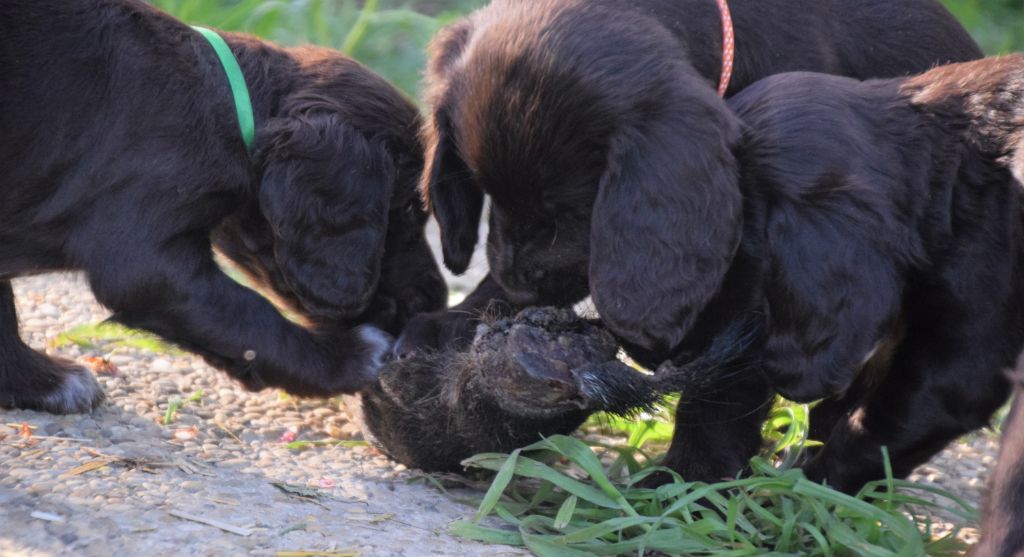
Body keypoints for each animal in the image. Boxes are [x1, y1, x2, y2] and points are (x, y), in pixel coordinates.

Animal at [0, 0, 446, 414]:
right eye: (409, 210)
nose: (435, 302)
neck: (225, 101)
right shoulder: (145, 248)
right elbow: (246, 314)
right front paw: (347, 360)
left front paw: (36, 381)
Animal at [396, 0, 982, 484]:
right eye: (486, 189)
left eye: (573, 210)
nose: (519, 287)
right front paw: (455, 321)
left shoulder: (767, 290)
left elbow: (720, 391)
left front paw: (685, 481)